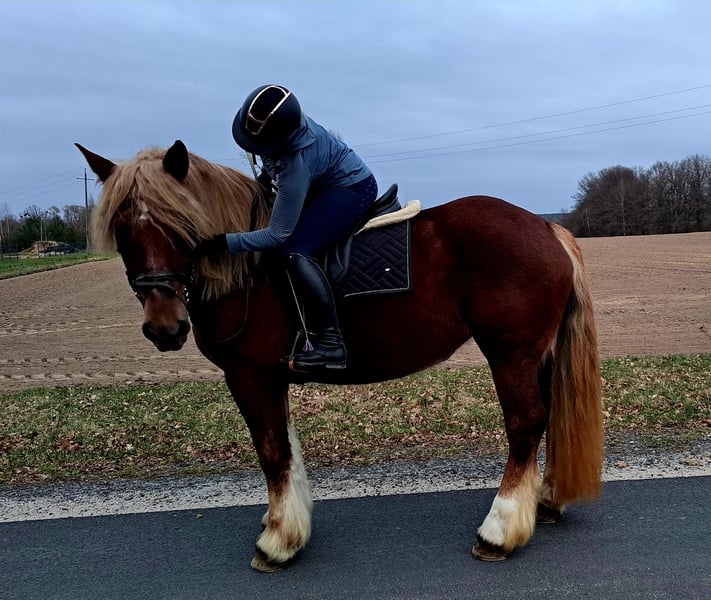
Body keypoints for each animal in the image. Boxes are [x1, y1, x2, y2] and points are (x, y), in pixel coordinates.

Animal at [76, 139, 603, 572]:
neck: (251, 271)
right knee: (548, 415)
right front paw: (286, 522)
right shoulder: (270, 378)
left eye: (181, 224)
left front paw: (278, 541)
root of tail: (547, 228)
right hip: (535, 356)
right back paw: (545, 501)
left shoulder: (250, 376)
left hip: (510, 354)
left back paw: (500, 529)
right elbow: (286, 447)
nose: (164, 327)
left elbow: (272, 450)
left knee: (525, 425)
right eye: (122, 230)